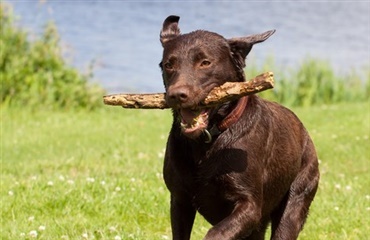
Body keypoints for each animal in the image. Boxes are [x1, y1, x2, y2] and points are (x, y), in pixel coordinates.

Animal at [159, 15, 318, 240]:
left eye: (205, 62)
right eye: (169, 64)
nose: (177, 95)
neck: (208, 140)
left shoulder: (250, 207)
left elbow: (215, 233)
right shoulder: (180, 201)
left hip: (296, 198)